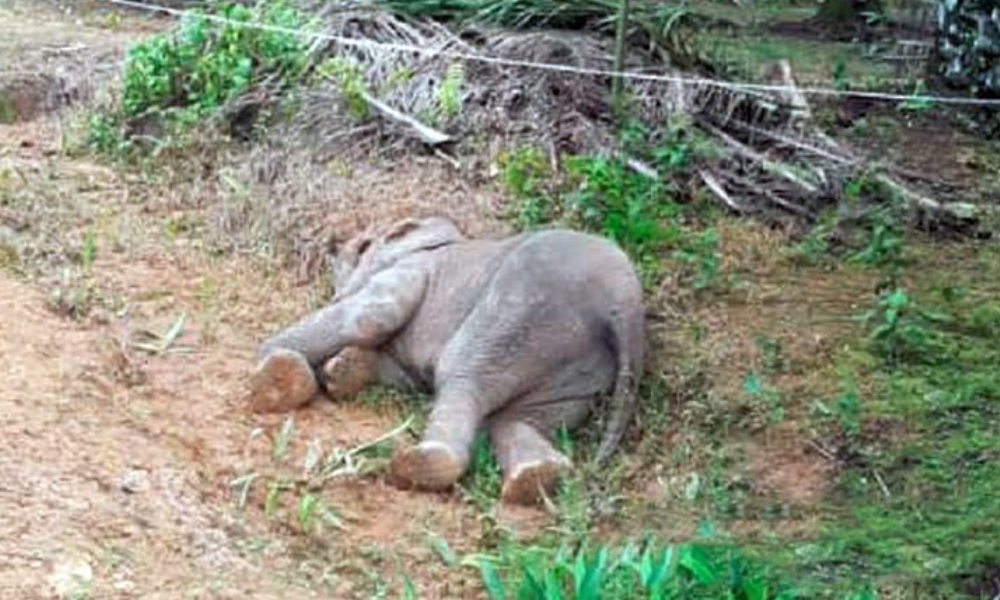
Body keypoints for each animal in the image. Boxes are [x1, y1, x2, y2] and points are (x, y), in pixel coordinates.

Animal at [249, 216, 645, 505]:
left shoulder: (414, 268)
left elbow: (371, 317)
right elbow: (403, 371)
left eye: (361, 247)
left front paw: (271, 372)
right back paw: (537, 479)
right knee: (512, 419)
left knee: (462, 374)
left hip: (526, 304)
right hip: (582, 365)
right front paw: (337, 371)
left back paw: (420, 467)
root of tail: (624, 305)